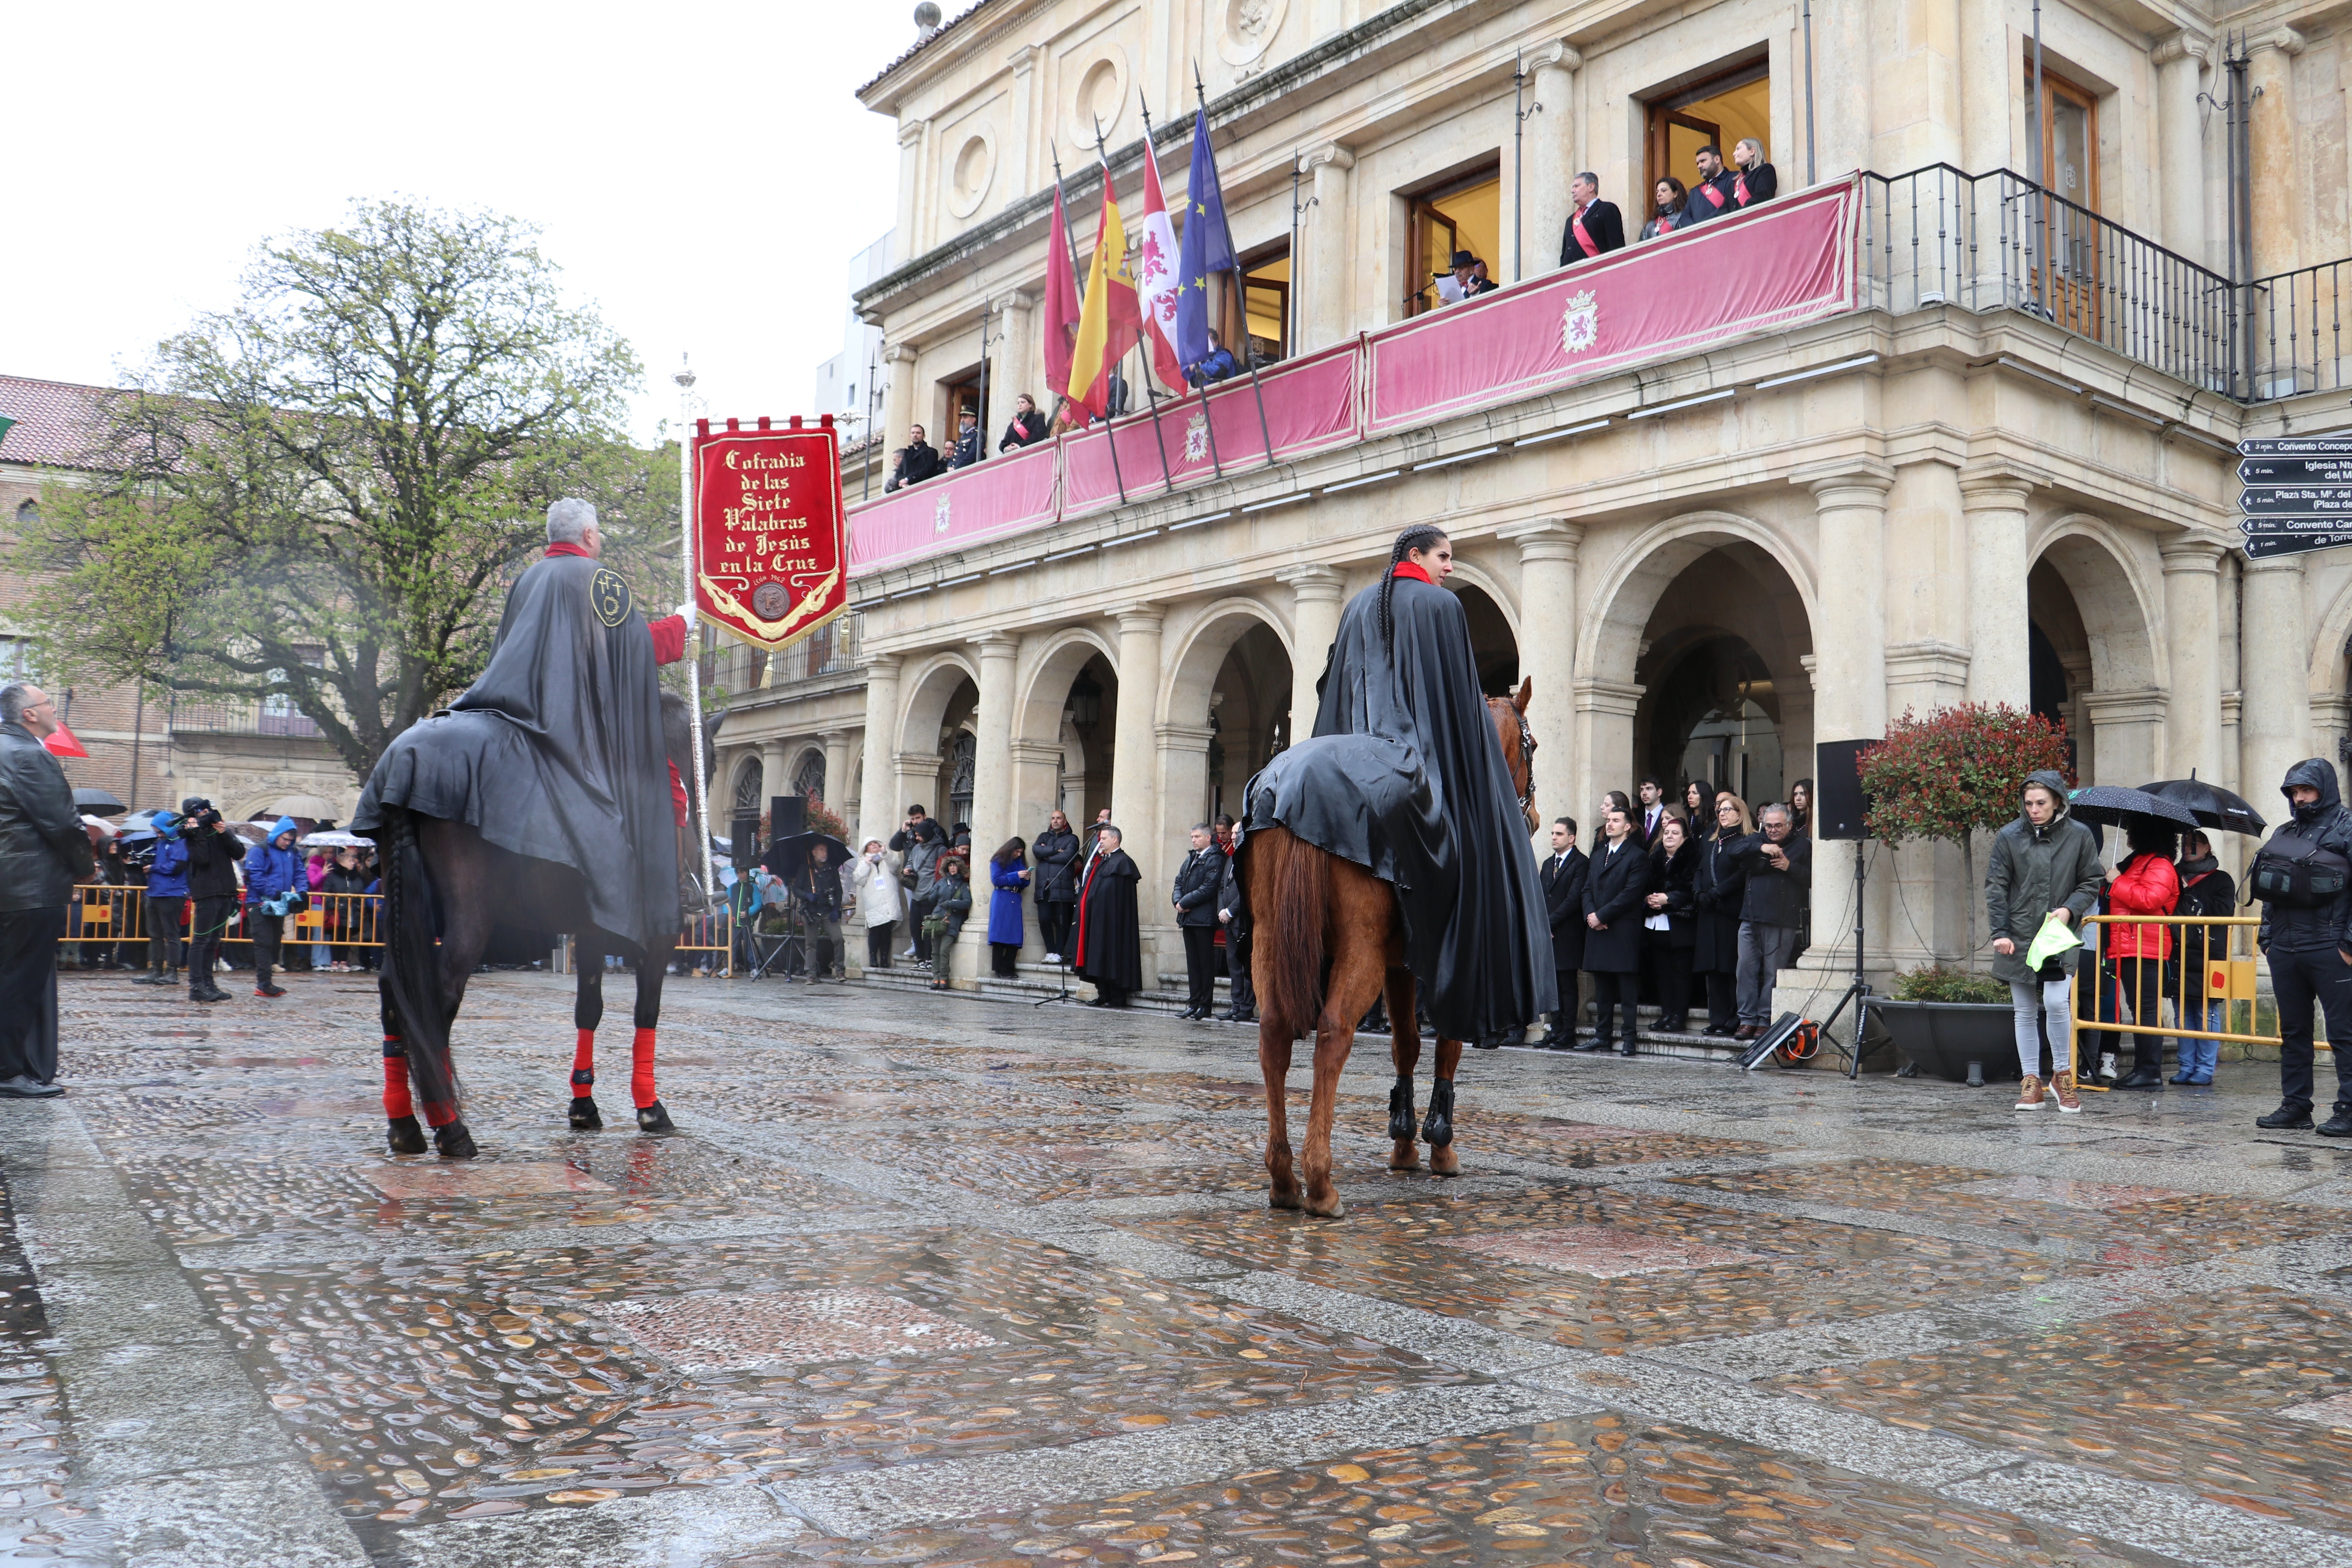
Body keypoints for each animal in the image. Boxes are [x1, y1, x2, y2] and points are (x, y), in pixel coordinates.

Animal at [1242, 682, 1534, 1222]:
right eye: (1534, 746)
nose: (1537, 815)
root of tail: (1294, 793)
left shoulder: (1403, 965)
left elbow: (1407, 1044)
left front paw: (1404, 1141)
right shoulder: (1454, 962)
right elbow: (1446, 1045)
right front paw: (1440, 1146)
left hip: (1270, 940)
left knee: (1273, 1034)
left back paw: (1283, 1177)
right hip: (1360, 953)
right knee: (1333, 1033)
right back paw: (1320, 1183)